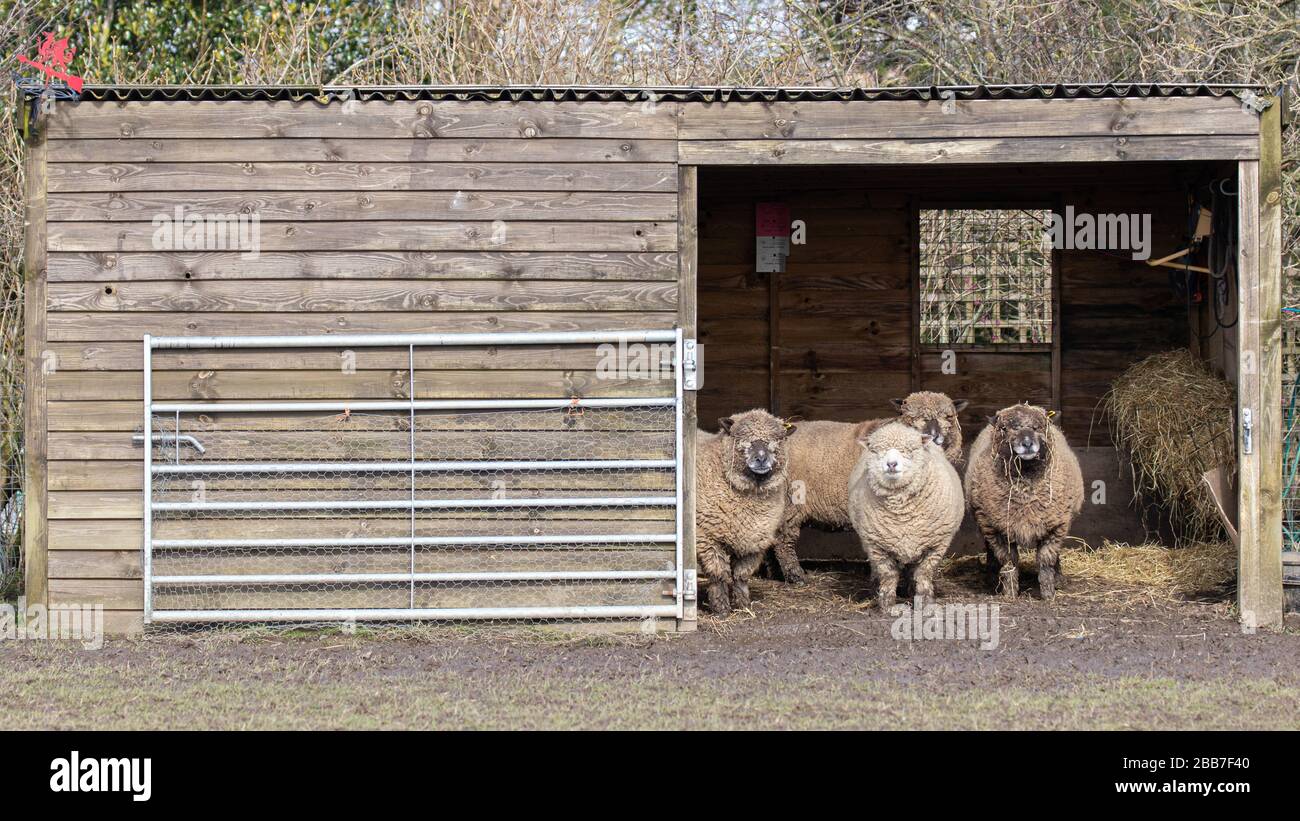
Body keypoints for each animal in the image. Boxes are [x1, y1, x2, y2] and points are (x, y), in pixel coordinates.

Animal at [695, 409, 797, 616]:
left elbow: (741, 575)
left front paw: (743, 604)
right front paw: (721, 608)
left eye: (777, 439)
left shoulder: (753, 539)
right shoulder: (707, 537)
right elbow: (718, 573)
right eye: (744, 438)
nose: (761, 459)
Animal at [766, 391, 968, 585]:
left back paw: (774, 574)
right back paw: (796, 576)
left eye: (949, 417)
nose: (934, 436)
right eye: (910, 417)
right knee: (783, 541)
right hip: (789, 503)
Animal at [848, 421, 966, 610]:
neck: (902, 515)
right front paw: (887, 605)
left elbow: (924, 573)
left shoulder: (936, 545)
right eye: (877, 451)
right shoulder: (877, 547)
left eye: (909, 450)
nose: (891, 464)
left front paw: (924, 601)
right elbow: (888, 575)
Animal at [964, 403, 1084, 600]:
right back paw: (991, 578)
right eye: (1005, 428)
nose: (1027, 444)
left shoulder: (1055, 525)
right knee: (990, 551)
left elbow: (1046, 560)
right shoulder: (998, 528)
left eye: (1038, 427)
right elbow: (1009, 561)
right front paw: (1010, 593)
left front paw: (1048, 593)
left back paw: (1059, 578)